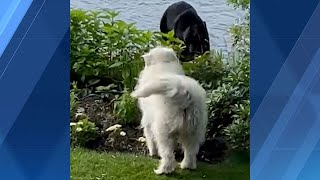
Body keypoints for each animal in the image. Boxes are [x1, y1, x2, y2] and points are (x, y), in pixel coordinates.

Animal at [131, 46, 209, 174]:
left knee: (167, 154)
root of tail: (185, 93)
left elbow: (149, 138)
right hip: (193, 130)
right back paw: (187, 166)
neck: (163, 65)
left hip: (163, 131)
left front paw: (152, 153)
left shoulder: (147, 120)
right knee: (191, 151)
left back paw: (163, 170)